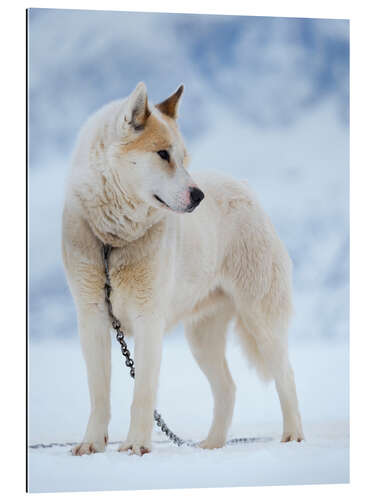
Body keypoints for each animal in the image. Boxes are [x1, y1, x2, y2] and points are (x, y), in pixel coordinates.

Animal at [62, 83, 306, 458]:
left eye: (183, 157)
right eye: (162, 154)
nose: (199, 196)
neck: (112, 240)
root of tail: (244, 187)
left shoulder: (148, 321)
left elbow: (142, 394)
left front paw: (136, 445)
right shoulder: (92, 319)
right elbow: (99, 394)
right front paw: (91, 444)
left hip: (261, 319)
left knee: (286, 376)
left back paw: (293, 436)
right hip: (202, 338)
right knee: (228, 388)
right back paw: (211, 446)